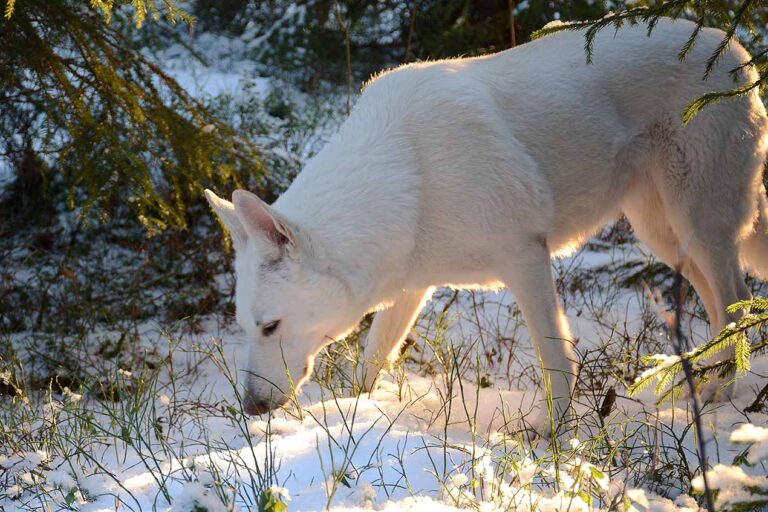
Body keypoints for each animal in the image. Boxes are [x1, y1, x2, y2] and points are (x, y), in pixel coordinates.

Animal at [204, 18, 768, 426]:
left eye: (270, 326)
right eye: (245, 327)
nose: (251, 408)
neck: (408, 176)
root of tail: (733, 47)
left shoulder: (526, 260)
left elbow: (556, 360)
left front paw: (554, 439)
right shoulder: (412, 287)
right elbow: (371, 359)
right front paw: (355, 414)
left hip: (701, 227)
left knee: (739, 304)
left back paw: (718, 392)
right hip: (667, 237)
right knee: (720, 311)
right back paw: (708, 389)